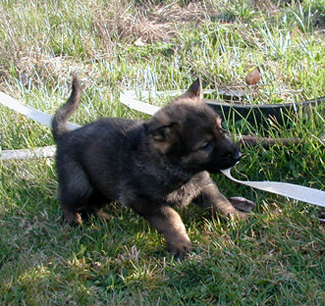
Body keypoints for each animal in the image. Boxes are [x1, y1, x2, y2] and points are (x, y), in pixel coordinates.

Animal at [52, 76, 254, 258]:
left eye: (222, 130)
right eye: (206, 145)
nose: (238, 156)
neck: (175, 167)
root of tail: (65, 135)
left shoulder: (204, 187)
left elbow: (221, 203)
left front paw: (239, 217)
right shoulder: (142, 199)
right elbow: (171, 218)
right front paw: (180, 243)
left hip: (104, 187)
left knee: (92, 206)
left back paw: (103, 218)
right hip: (81, 185)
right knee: (66, 200)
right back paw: (73, 219)